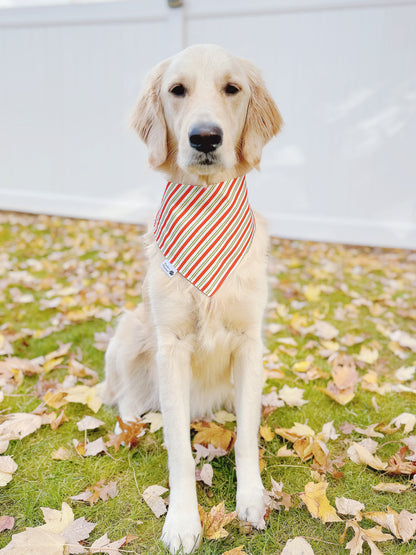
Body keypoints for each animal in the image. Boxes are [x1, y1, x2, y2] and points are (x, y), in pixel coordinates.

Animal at [102, 44, 282, 555]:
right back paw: (134, 426)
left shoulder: (249, 342)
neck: (206, 201)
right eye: (177, 90)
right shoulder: (172, 345)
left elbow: (246, 436)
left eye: (232, 88)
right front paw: (183, 522)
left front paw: (252, 500)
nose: (205, 137)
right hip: (130, 330)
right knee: (127, 399)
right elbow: (180, 452)